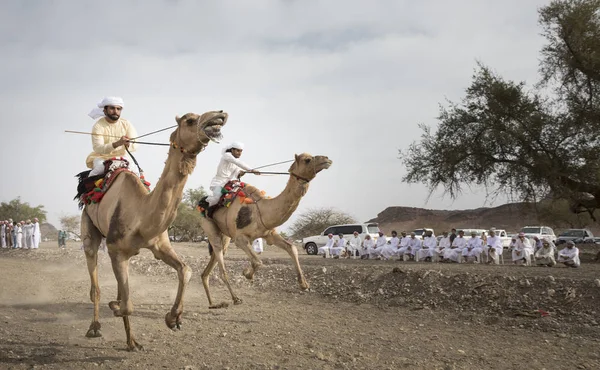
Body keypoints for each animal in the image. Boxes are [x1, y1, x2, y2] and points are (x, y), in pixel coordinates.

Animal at [81, 110, 226, 350]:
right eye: (189, 120)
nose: (219, 116)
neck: (141, 213)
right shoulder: (116, 249)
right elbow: (128, 305)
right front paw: (115, 307)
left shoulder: (160, 245)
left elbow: (185, 270)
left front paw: (173, 318)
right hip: (88, 225)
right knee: (95, 281)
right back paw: (94, 327)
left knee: (119, 288)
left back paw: (131, 341)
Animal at [200, 152, 332, 308]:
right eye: (307, 160)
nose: (327, 159)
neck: (261, 209)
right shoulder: (240, 238)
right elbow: (258, 262)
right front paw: (246, 273)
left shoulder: (270, 234)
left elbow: (292, 248)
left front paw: (304, 284)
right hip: (209, 226)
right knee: (220, 259)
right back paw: (235, 298)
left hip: (225, 235)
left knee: (211, 264)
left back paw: (212, 303)